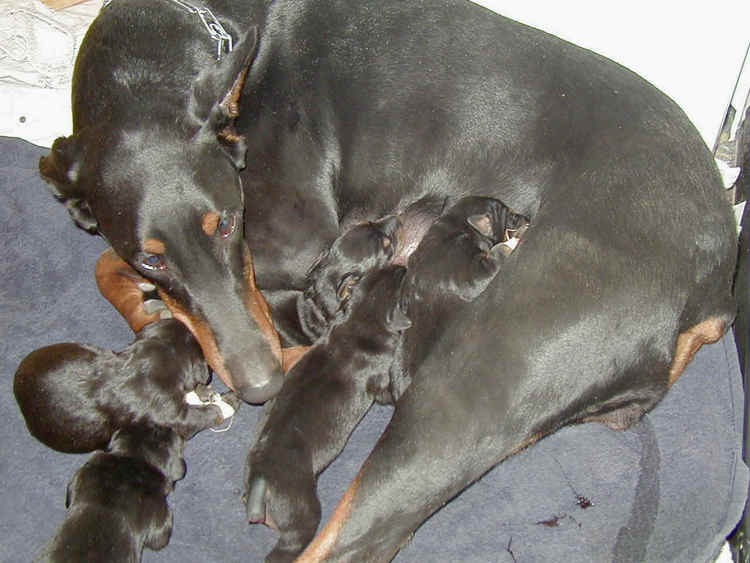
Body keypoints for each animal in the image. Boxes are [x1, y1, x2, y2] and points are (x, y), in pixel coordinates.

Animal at [245, 266, 412, 563]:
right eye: (401, 281)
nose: (403, 266)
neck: (360, 316)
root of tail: (259, 481)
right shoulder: (381, 383)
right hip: (302, 514)